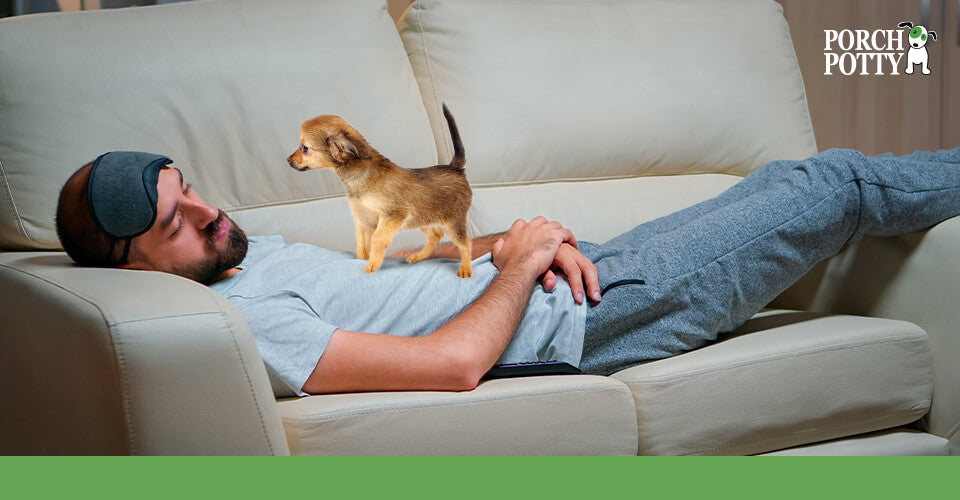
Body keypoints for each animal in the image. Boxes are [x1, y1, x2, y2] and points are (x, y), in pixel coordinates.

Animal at [288, 104, 476, 278]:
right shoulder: (362, 222)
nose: (288, 160)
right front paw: (364, 260)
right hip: (422, 218)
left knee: (465, 242)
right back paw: (418, 257)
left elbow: (377, 240)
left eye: (304, 148)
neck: (360, 177)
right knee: (435, 235)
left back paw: (465, 269)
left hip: (452, 222)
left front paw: (373, 264)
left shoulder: (392, 216)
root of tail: (455, 168)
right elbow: (362, 247)